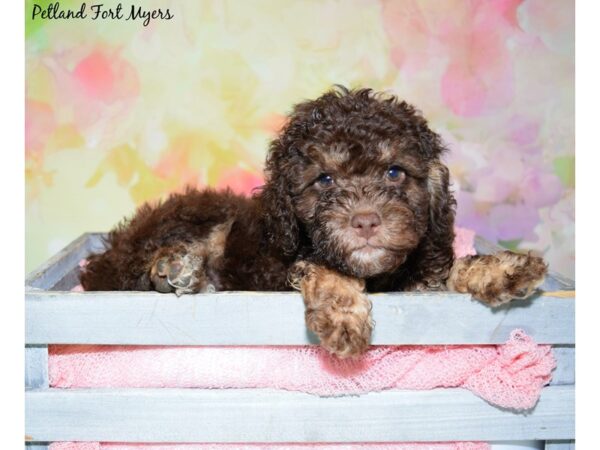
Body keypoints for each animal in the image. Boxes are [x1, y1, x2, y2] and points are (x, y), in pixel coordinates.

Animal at [81, 86, 548, 356]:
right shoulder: (284, 265)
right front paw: (344, 320)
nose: (365, 221)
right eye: (324, 180)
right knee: (131, 273)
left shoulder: (420, 278)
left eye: (394, 172)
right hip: (191, 220)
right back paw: (173, 268)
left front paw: (505, 269)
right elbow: (326, 270)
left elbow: (454, 269)